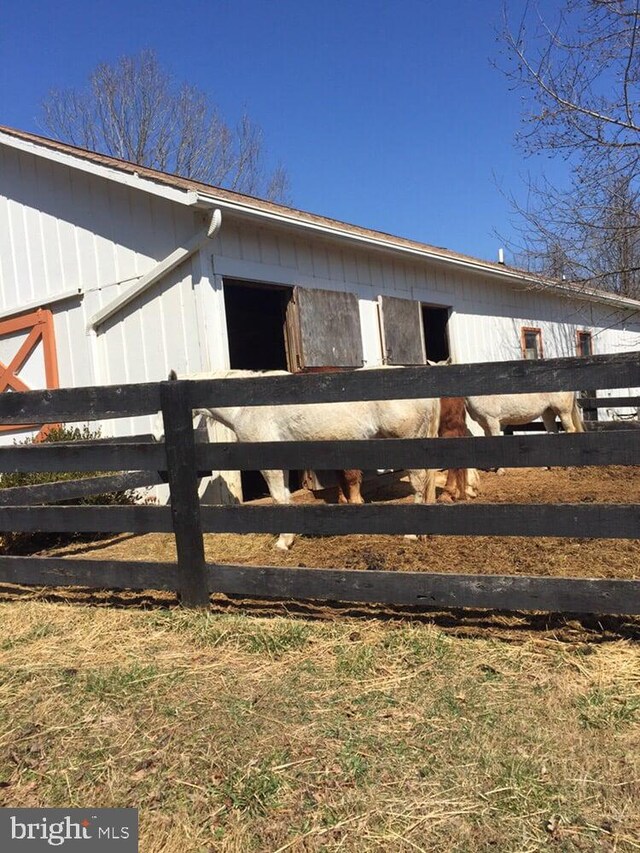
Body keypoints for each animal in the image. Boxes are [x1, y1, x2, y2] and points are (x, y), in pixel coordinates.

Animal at [158, 370, 442, 548]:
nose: (161, 436)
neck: (246, 405)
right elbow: (284, 497)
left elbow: (278, 498)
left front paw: (283, 542)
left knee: (419, 485)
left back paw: (412, 534)